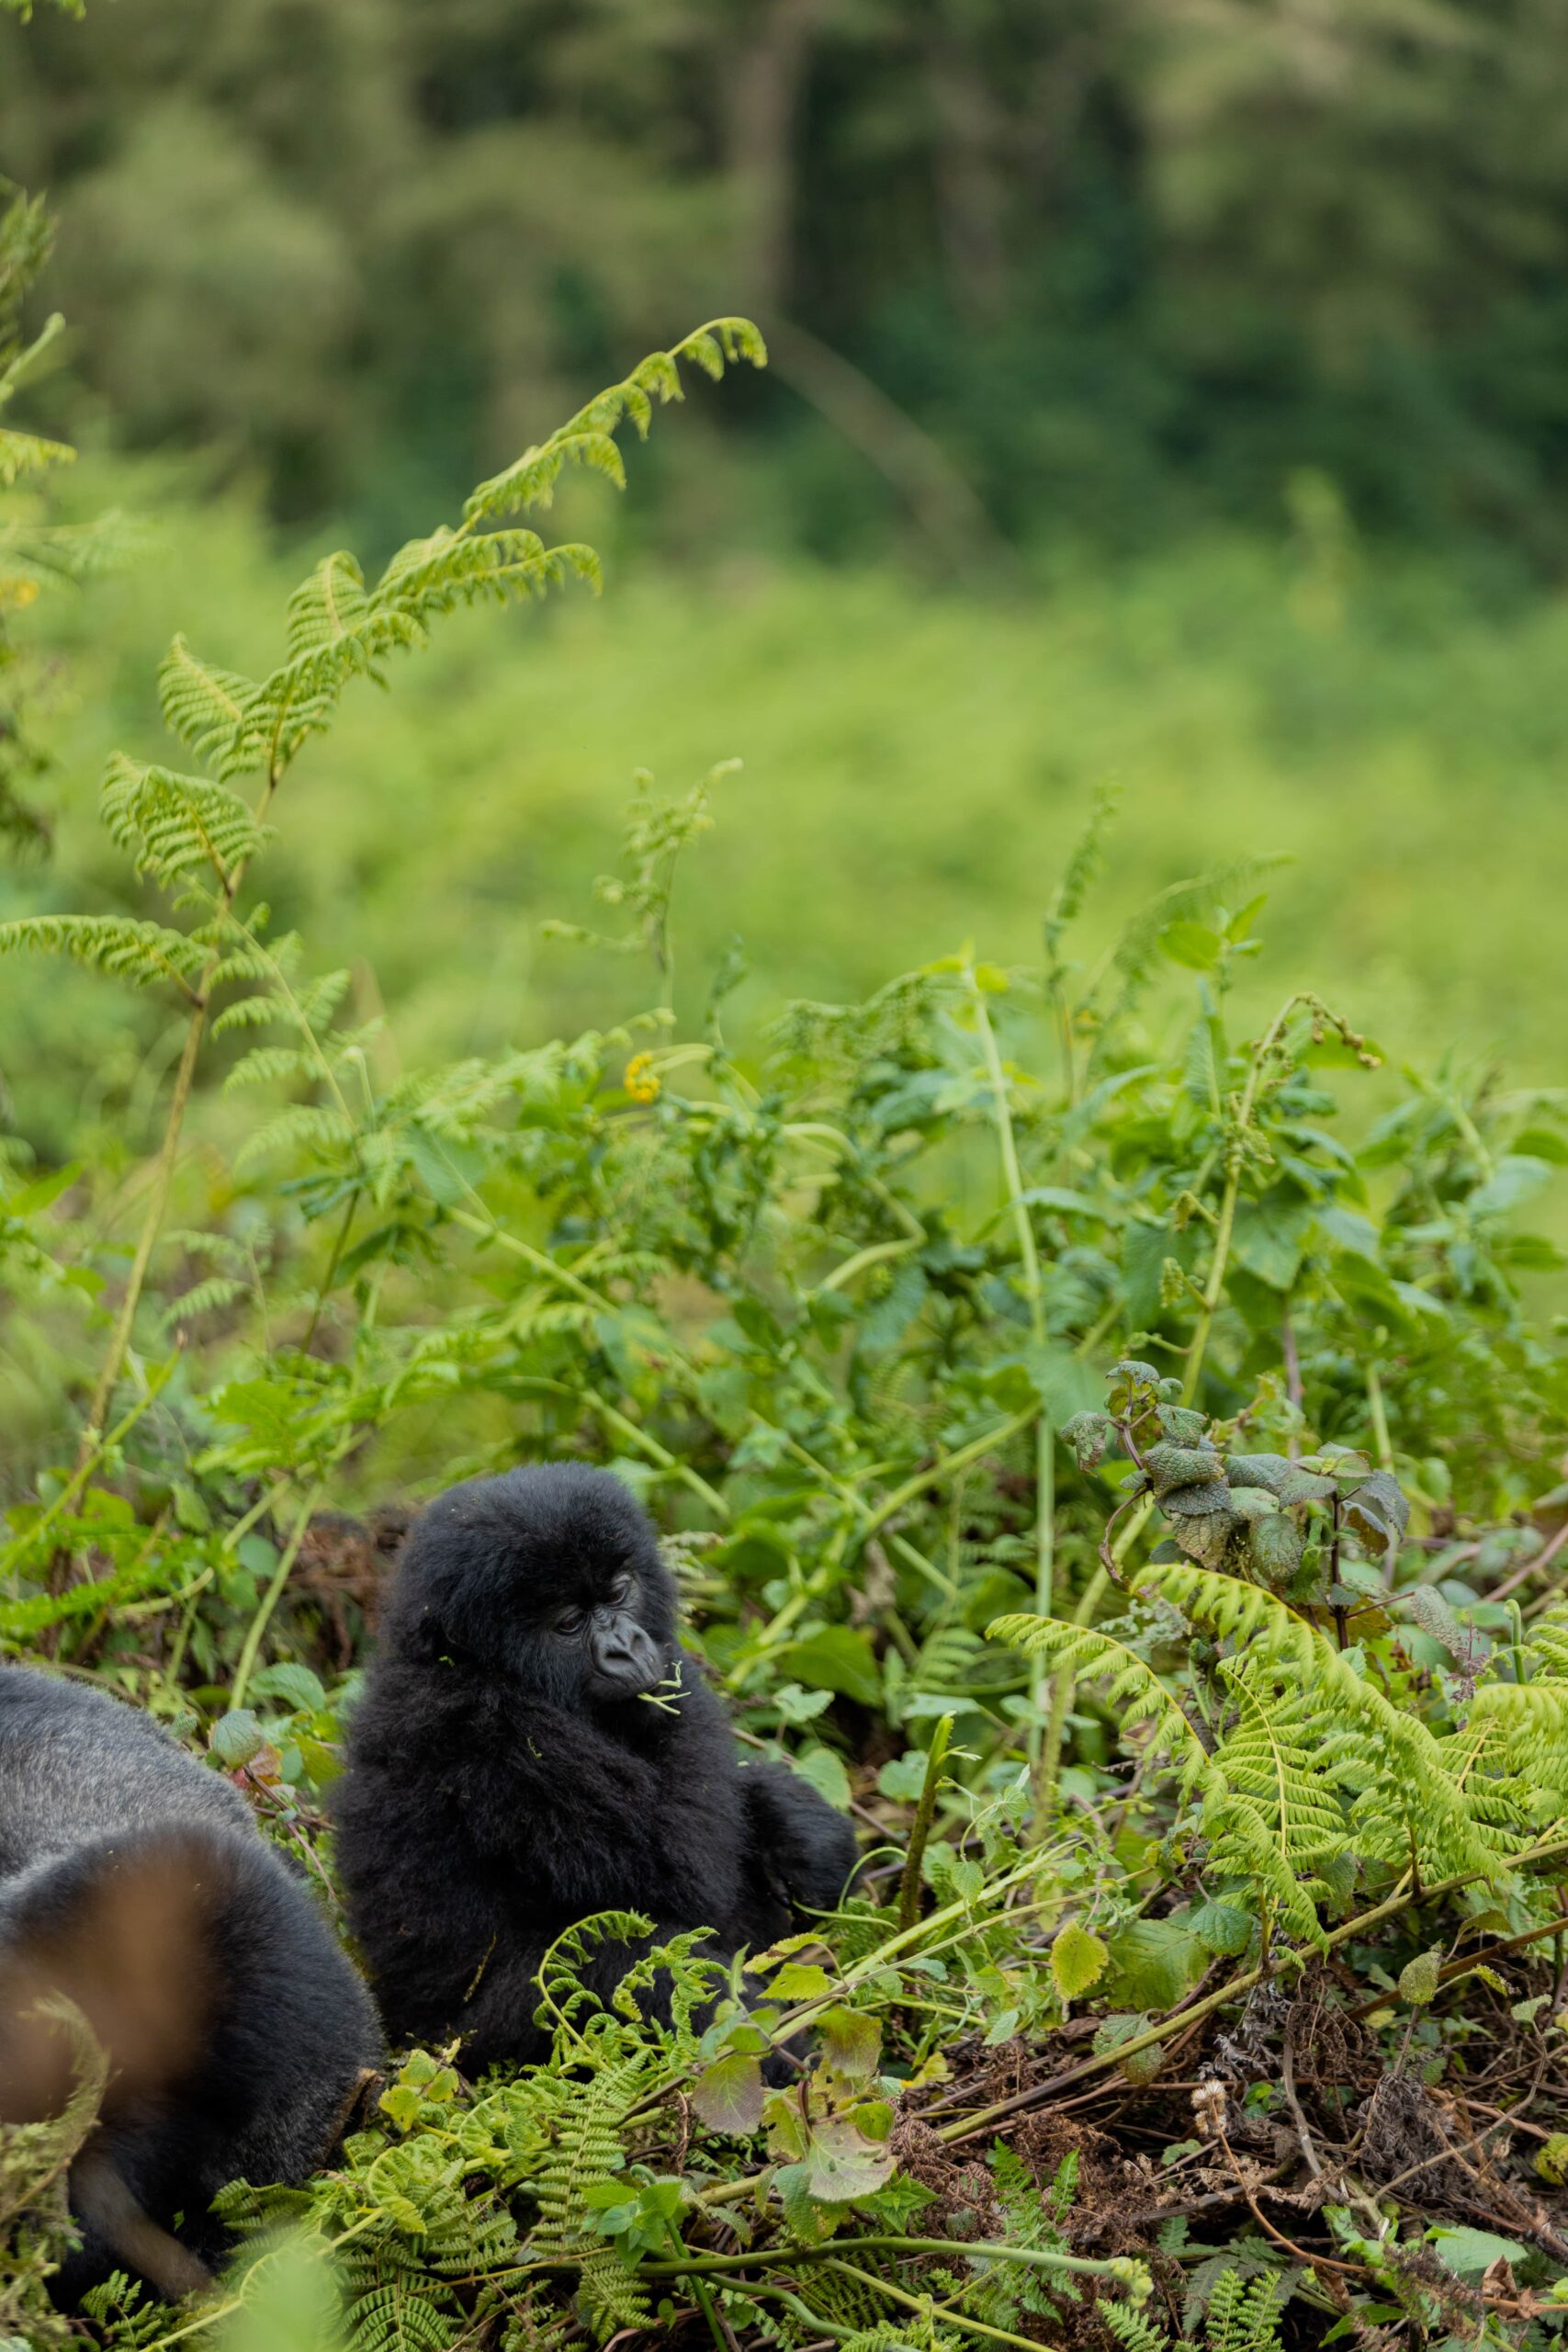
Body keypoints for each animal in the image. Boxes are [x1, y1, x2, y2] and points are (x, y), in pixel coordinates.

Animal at [334, 1463, 859, 2071]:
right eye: (568, 1623)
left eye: (617, 1593)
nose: (627, 1647)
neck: (462, 1663)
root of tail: (406, 2036)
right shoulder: (504, 1743)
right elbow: (684, 1868)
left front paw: (799, 1824)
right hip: (469, 2046)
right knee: (624, 1954)